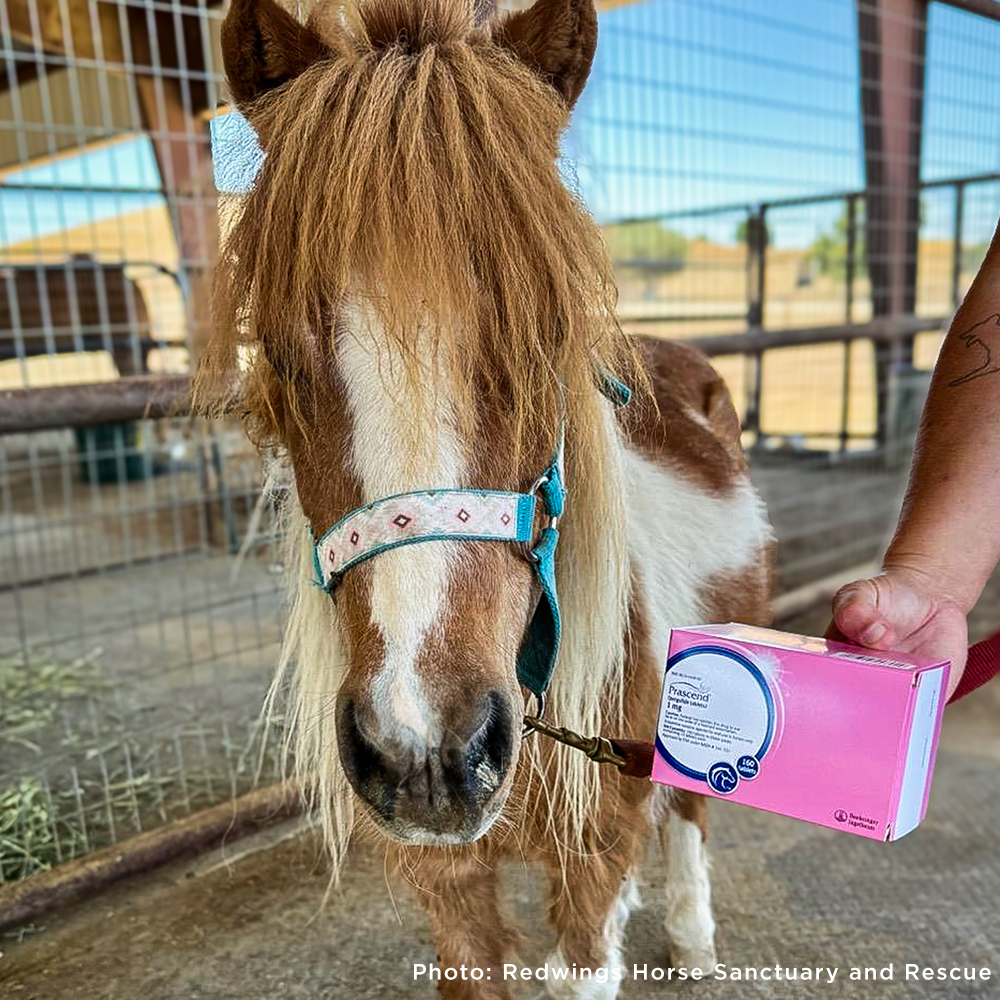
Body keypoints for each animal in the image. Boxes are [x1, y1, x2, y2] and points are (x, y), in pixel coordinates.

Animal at [199, 0, 772, 995]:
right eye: (273, 349)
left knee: (691, 818)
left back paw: (694, 939)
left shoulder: (592, 854)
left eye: (551, 331)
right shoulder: (450, 887)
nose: (426, 749)